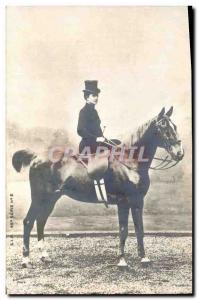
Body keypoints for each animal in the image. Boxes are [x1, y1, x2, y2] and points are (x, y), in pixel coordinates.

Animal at [11, 105, 184, 268]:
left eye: (174, 126)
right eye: (164, 128)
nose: (179, 153)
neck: (129, 161)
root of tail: (36, 158)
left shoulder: (137, 201)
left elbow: (139, 230)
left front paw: (144, 258)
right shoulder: (123, 202)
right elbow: (123, 231)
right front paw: (122, 261)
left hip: (51, 199)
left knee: (40, 221)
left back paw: (44, 256)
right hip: (39, 198)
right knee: (28, 222)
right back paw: (26, 260)